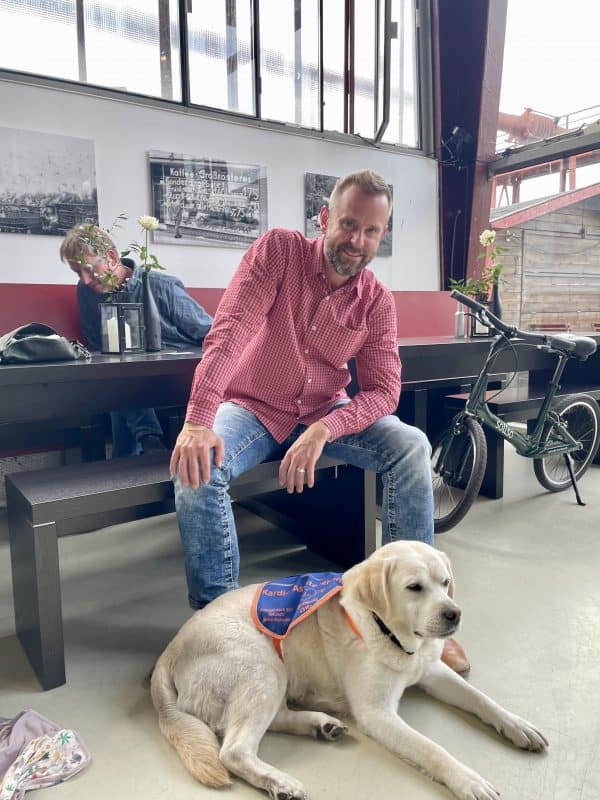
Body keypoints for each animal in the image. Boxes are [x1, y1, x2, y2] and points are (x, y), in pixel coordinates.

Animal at [151, 540, 548, 796]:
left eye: (445, 582)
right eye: (414, 587)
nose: (454, 614)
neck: (388, 632)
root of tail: (166, 654)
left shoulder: (432, 672)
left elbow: (481, 699)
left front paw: (518, 725)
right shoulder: (378, 713)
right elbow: (432, 749)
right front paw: (468, 780)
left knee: (270, 720)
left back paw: (320, 725)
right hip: (263, 666)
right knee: (233, 749)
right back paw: (281, 781)